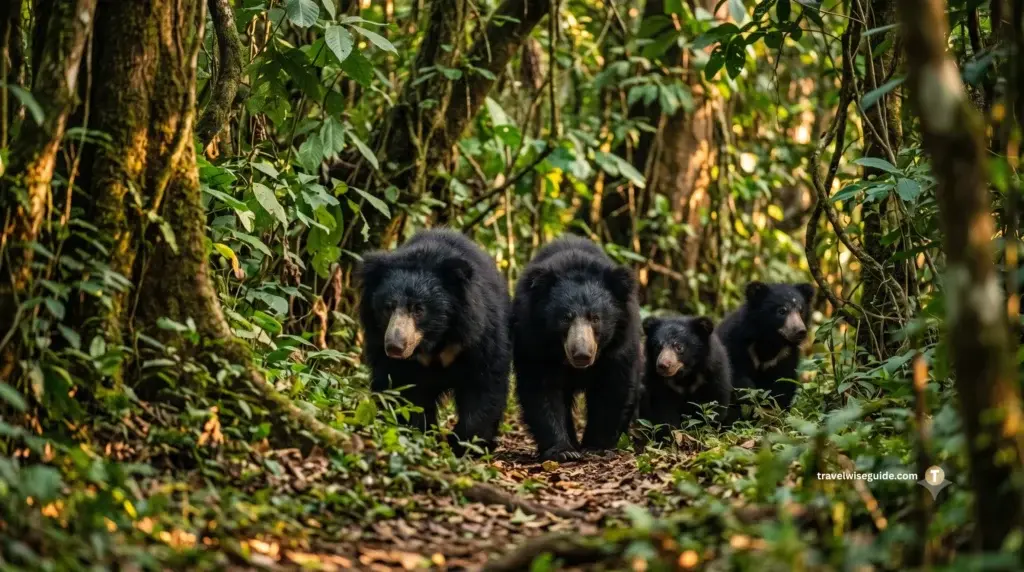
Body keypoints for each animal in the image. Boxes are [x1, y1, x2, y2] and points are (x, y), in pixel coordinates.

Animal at [358, 229, 511, 454]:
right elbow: (398, 387)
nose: (395, 347)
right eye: (388, 307)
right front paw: (416, 434)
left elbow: (484, 383)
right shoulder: (382, 343)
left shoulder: (479, 336)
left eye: (418, 309)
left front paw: (465, 443)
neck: (435, 340)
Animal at [511, 236, 642, 462]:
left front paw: (596, 447)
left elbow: (613, 386)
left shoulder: (619, 344)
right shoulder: (533, 341)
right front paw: (564, 451)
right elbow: (542, 388)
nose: (581, 355)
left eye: (595, 318)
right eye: (565, 318)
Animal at [715, 281, 814, 414]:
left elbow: (783, 387)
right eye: (781, 311)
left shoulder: (786, 356)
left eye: (801, 311)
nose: (800, 331)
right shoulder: (735, 344)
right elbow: (736, 378)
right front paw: (750, 393)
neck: (768, 340)